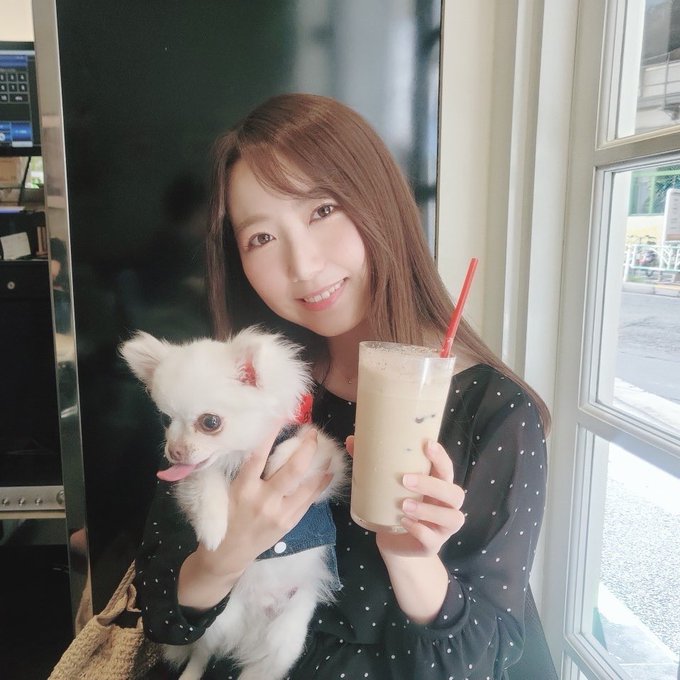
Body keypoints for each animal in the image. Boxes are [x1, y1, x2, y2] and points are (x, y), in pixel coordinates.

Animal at [120, 326, 347, 680]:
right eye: (166, 419)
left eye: (210, 422)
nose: (175, 451)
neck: (238, 457)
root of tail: (249, 627)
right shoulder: (191, 479)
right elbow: (205, 483)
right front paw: (214, 530)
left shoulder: (328, 467)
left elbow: (307, 451)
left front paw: (278, 462)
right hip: (217, 621)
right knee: (202, 652)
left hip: (285, 640)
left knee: (260, 668)